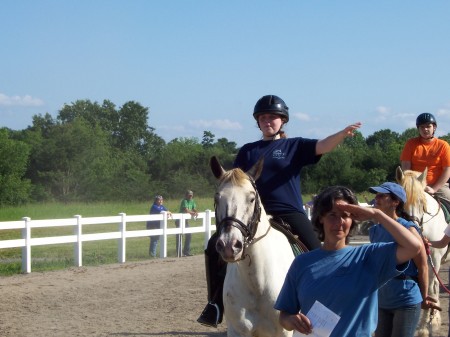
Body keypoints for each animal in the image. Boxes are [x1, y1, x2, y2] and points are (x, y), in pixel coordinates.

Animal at [211, 156, 296, 336]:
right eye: (217, 199)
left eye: (251, 199)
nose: (229, 245)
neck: (257, 283)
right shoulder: (237, 331)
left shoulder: (284, 332)